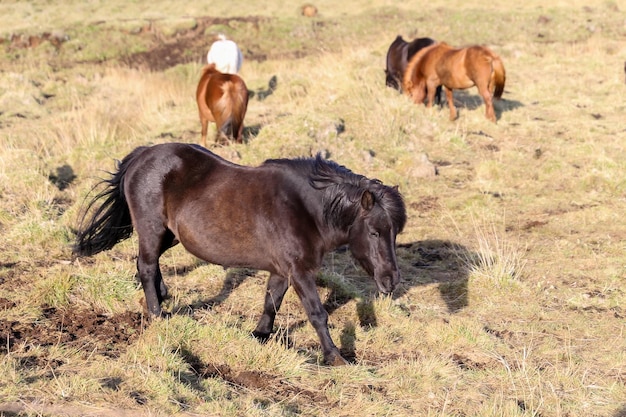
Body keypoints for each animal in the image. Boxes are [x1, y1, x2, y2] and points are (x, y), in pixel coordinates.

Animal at [73, 142, 408, 364]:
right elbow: (317, 313)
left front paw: (260, 335)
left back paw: (163, 296)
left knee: (149, 265)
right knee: (146, 265)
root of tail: (141, 156)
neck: (306, 209)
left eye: (395, 232)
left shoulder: (282, 270)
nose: (391, 281)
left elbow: (271, 302)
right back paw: (157, 313)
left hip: (172, 235)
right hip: (152, 228)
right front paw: (334, 357)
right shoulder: (300, 272)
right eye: (375, 232)